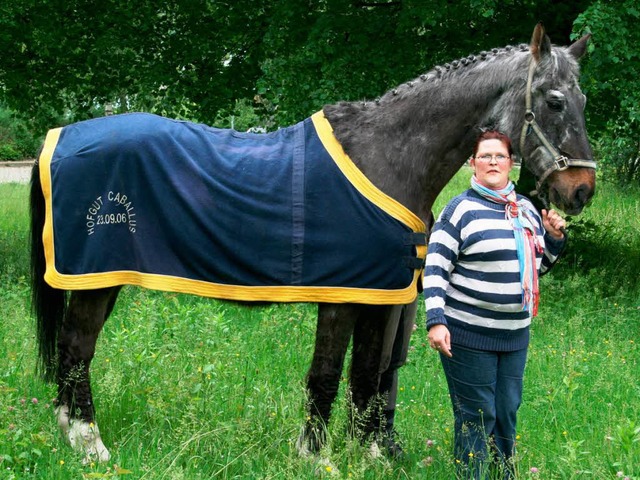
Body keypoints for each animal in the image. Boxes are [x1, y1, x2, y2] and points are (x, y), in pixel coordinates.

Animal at [28, 22, 596, 462]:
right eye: (554, 101)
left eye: (584, 100)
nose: (581, 190)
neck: (388, 157)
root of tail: (58, 139)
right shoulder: (343, 296)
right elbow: (326, 374)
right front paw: (314, 455)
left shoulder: (382, 296)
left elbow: (369, 374)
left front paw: (370, 454)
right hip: (96, 279)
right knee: (77, 349)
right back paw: (91, 445)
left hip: (101, 280)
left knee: (73, 353)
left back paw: (71, 433)